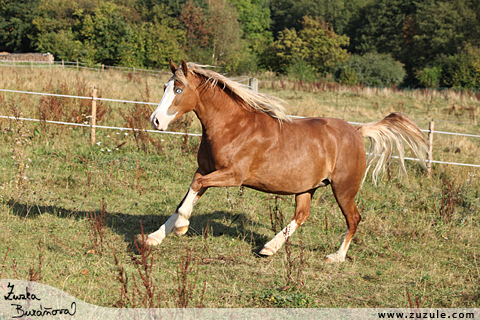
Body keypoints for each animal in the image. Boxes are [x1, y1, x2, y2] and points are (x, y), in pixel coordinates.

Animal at [145, 60, 428, 262]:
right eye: (164, 88)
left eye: (179, 89)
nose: (155, 120)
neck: (232, 126)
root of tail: (357, 131)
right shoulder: (205, 170)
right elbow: (187, 196)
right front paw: (153, 238)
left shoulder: (232, 175)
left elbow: (193, 190)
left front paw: (181, 228)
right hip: (307, 187)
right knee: (302, 215)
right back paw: (269, 248)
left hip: (344, 189)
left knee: (354, 218)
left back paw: (336, 257)